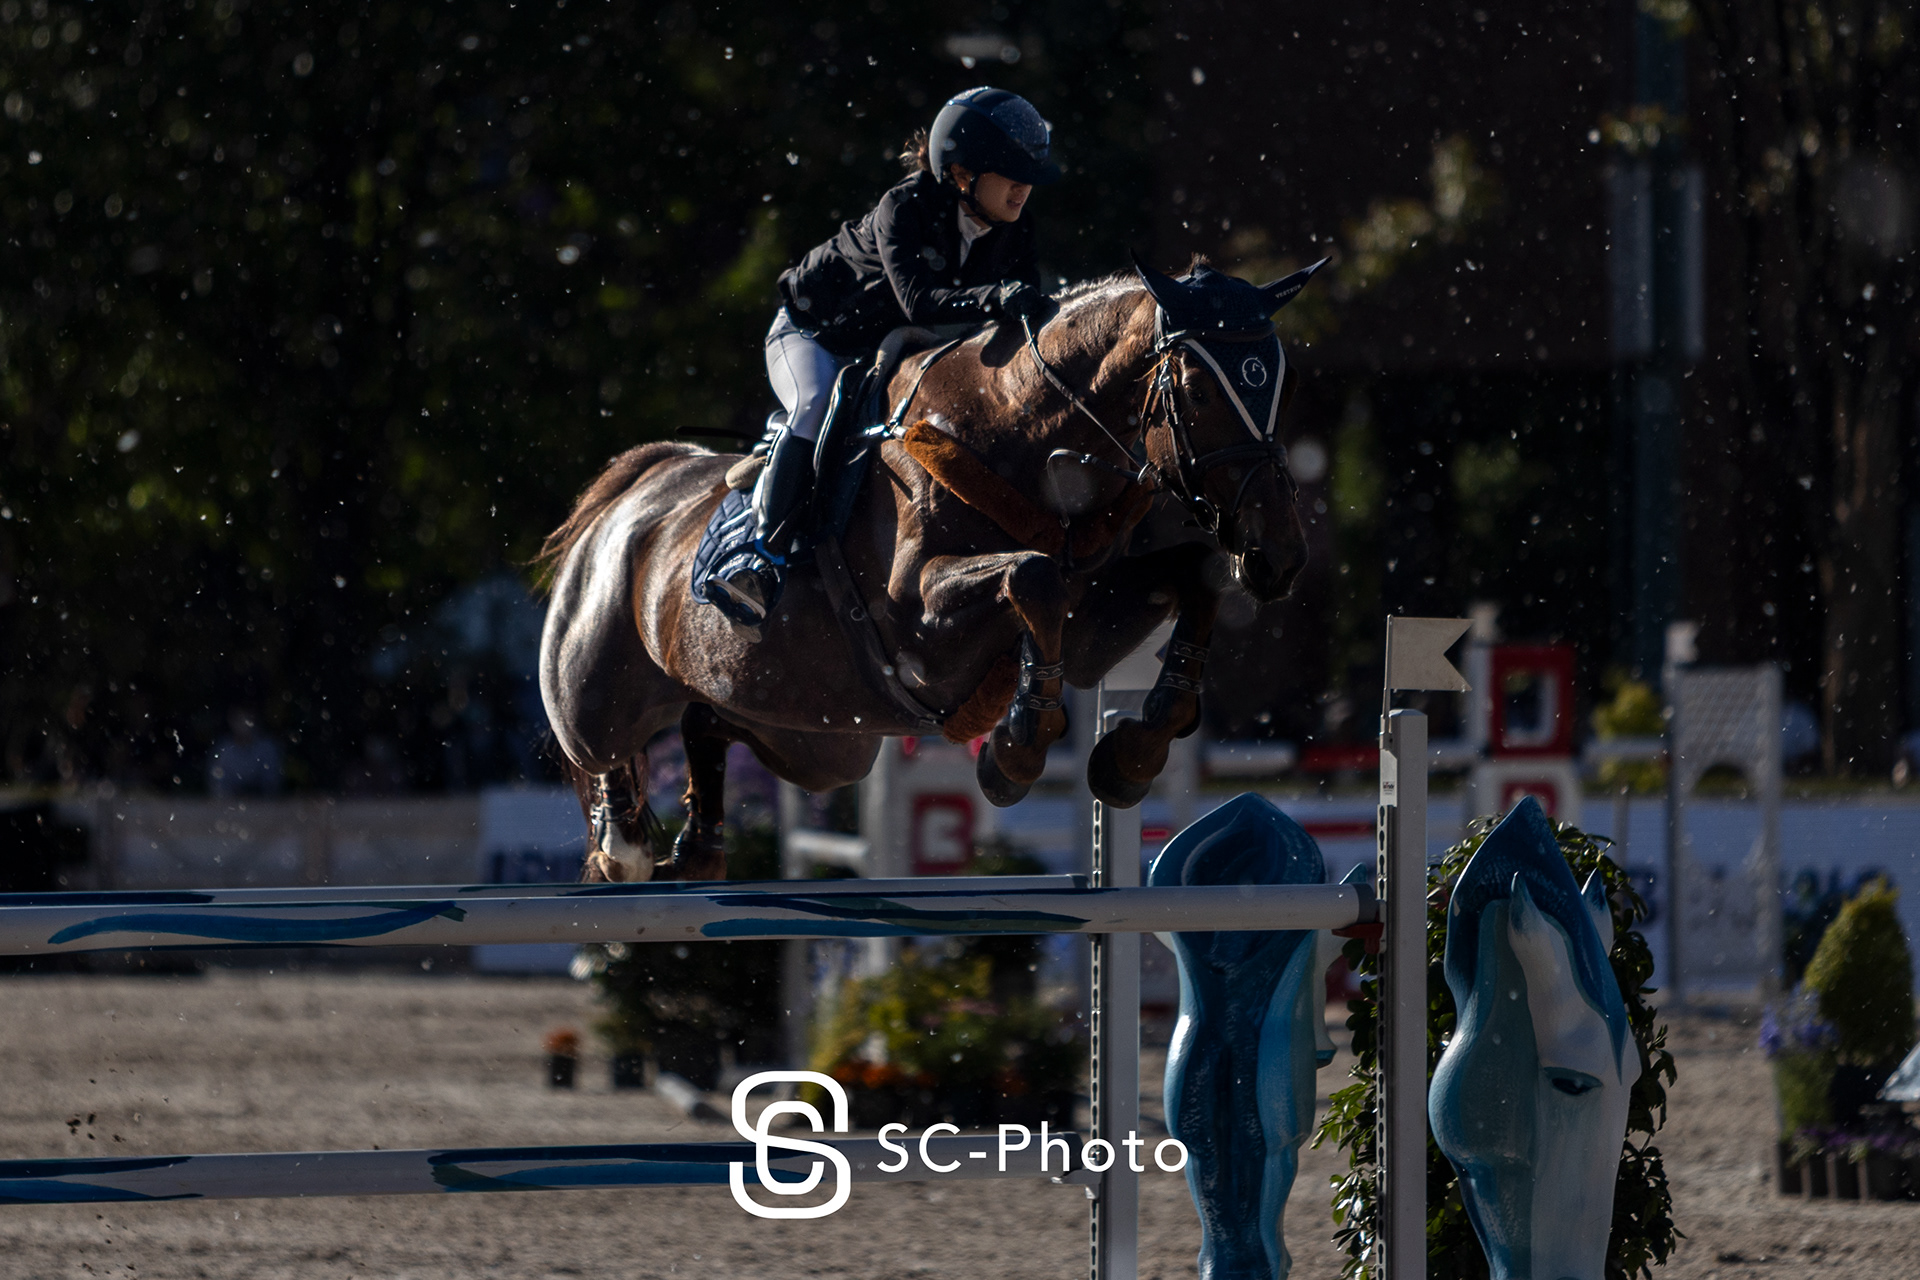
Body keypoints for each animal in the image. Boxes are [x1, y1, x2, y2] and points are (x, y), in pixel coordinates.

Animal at [536, 257, 1319, 882]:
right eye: (1200, 387)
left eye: (1279, 384)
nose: (1279, 557)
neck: (1024, 434)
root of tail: (640, 483)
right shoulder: (919, 622)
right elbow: (1033, 577)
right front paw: (1015, 749)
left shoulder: (1094, 622)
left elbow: (1196, 576)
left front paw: (1134, 752)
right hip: (593, 691)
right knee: (603, 760)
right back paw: (627, 845)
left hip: (821, 743)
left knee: (707, 722)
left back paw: (699, 846)